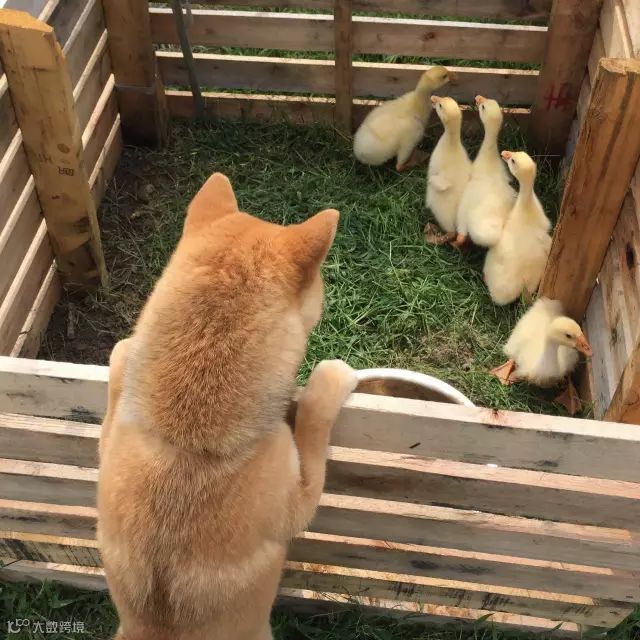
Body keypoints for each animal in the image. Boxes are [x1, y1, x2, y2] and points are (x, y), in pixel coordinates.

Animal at [97, 172, 357, 640]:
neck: (186, 436)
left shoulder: (112, 442)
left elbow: (118, 368)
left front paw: (126, 355)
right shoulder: (298, 503)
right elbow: (313, 425)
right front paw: (328, 382)